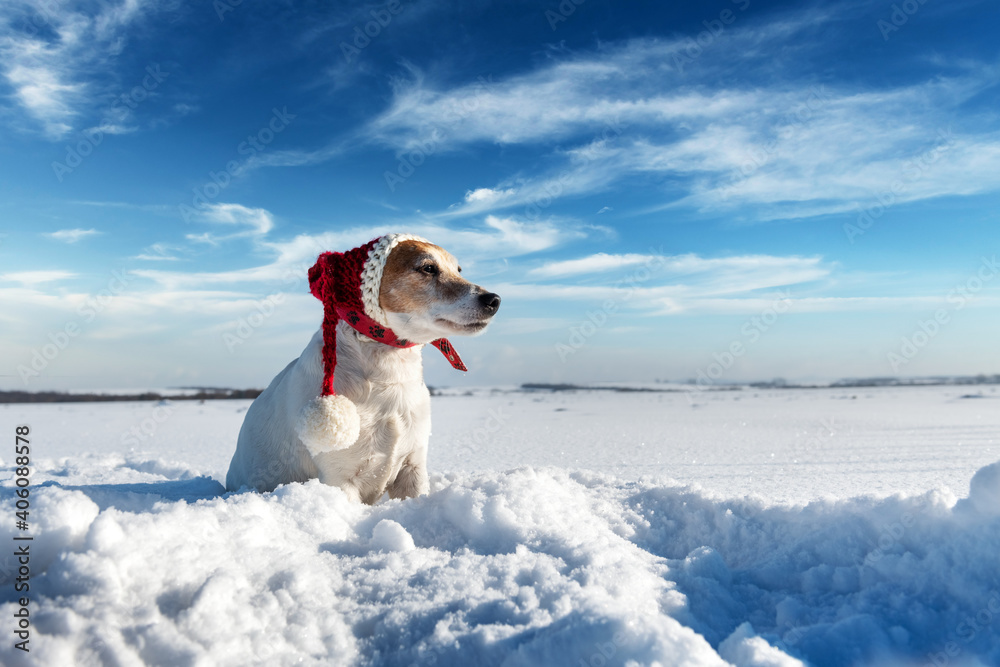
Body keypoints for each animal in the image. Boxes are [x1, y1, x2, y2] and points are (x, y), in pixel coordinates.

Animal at [230, 232, 504, 504]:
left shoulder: (413, 467)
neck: (390, 375)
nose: (494, 300)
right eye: (427, 268)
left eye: (458, 270)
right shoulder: (339, 478)